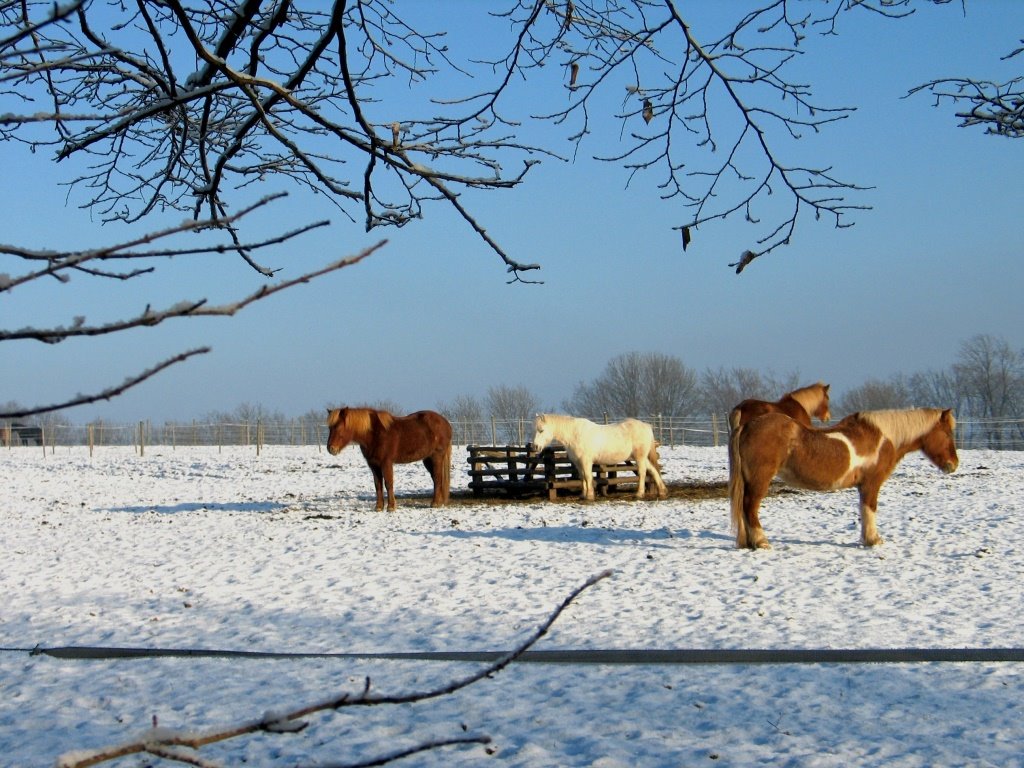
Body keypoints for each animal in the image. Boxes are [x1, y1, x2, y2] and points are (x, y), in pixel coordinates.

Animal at [532, 415, 667, 505]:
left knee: (643, 473)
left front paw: (590, 495)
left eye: (541, 430)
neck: (575, 434)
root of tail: (647, 426)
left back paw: (639, 493)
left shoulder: (586, 461)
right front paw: (583, 495)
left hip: (640, 458)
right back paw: (662, 491)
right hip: (642, 458)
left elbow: (588, 477)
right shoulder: (578, 463)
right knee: (653, 470)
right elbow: (582, 478)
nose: (535, 447)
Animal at [729, 409, 958, 548]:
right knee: (750, 507)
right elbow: (870, 509)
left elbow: (864, 510)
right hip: (760, 480)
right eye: (948, 433)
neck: (882, 438)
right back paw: (761, 542)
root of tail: (747, 425)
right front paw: (873, 540)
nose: (953, 465)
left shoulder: (863, 486)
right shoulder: (871, 484)